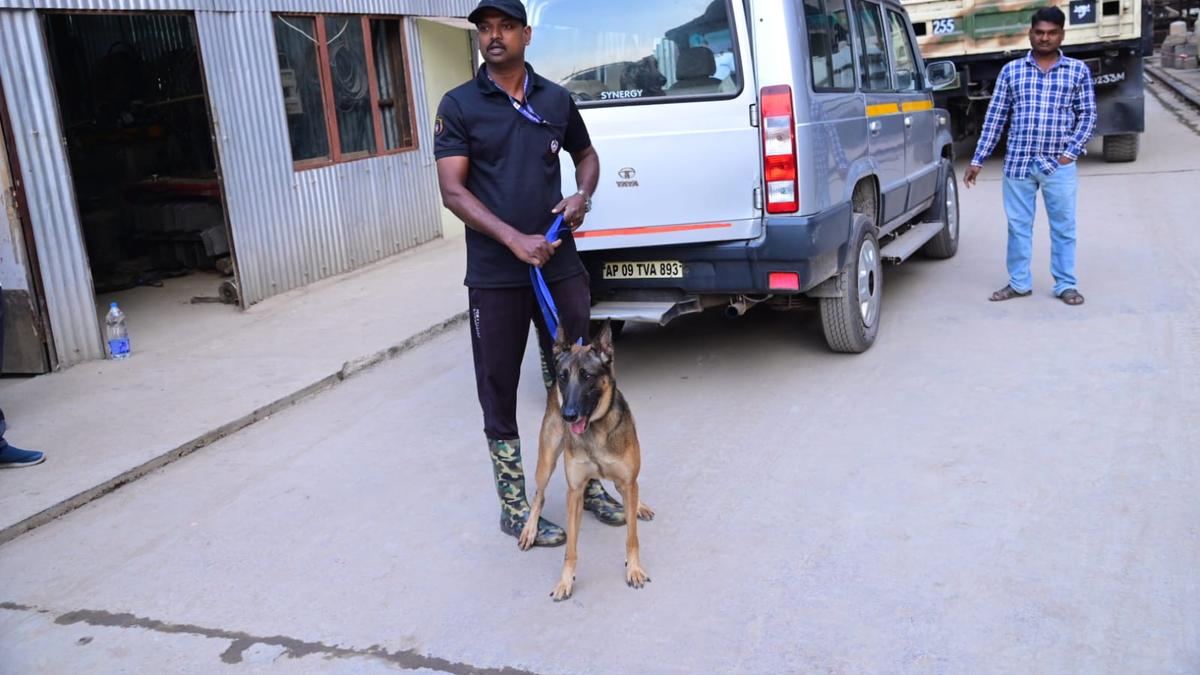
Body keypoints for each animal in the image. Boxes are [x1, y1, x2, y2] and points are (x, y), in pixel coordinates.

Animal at [518, 319, 652, 598]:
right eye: (562, 376)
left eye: (587, 376)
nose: (568, 415)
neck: (595, 430)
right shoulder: (575, 491)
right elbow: (571, 548)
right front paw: (565, 581)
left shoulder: (626, 480)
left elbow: (632, 536)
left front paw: (634, 568)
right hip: (546, 461)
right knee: (539, 495)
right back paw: (530, 529)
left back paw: (638, 505)